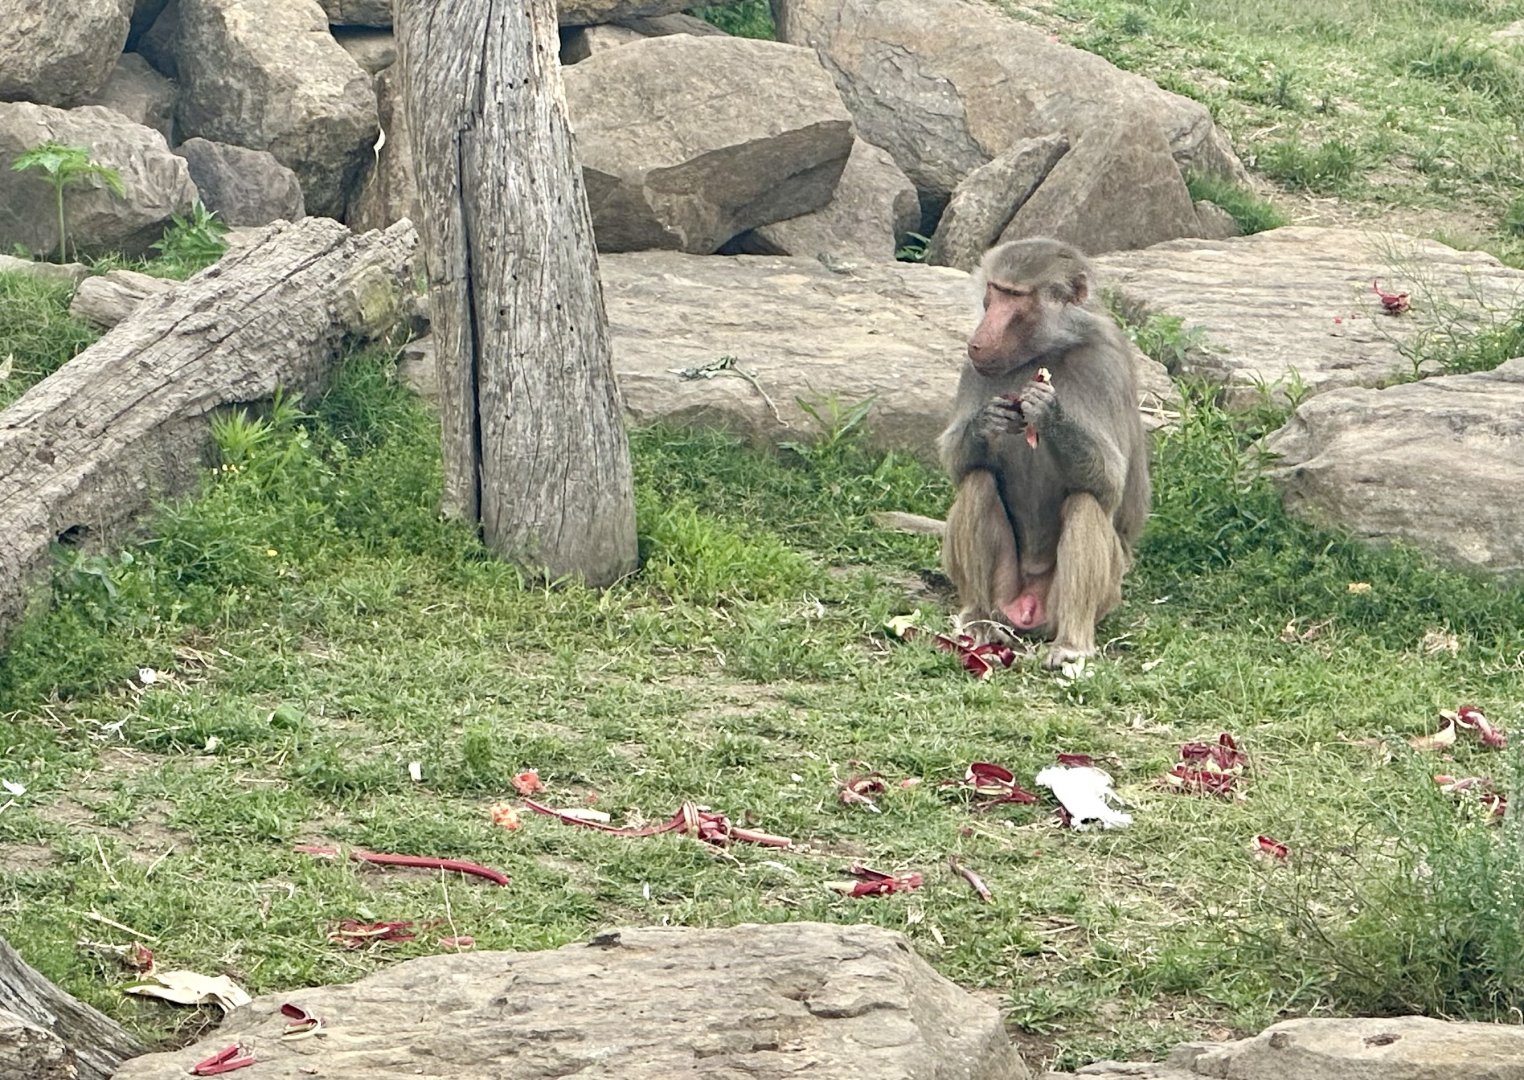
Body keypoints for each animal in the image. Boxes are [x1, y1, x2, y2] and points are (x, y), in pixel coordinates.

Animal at [936, 237, 1150, 669]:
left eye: (1016, 297)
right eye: (996, 290)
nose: (978, 340)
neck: (1048, 350)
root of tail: (1026, 608)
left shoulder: (1106, 364)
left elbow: (1111, 484)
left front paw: (1049, 412)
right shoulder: (974, 367)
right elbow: (958, 463)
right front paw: (985, 422)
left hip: (1101, 592)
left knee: (1085, 503)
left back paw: (1071, 643)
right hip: (1004, 593)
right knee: (978, 483)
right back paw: (977, 622)